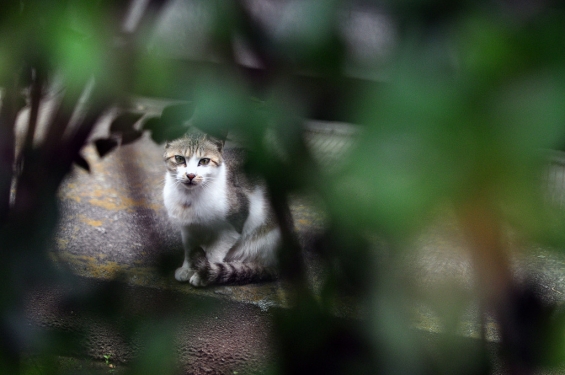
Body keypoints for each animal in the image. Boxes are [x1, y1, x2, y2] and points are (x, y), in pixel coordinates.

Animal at [161, 131, 280, 288]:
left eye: (204, 161)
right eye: (179, 158)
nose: (191, 175)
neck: (190, 198)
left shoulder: (232, 227)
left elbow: (213, 254)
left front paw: (204, 275)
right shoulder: (188, 229)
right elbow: (190, 251)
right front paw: (187, 269)